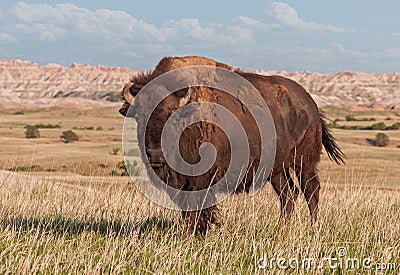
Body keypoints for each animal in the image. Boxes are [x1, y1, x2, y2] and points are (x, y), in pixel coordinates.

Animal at [118, 55, 344, 235]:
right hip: (277, 170)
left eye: (172, 116)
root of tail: (312, 105)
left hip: (304, 162)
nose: (156, 154)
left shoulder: (202, 179)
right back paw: (282, 231)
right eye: (139, 117)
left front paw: (197, 235)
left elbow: (199, 209)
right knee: (288, 195)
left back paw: (314, 230)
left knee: (310, 191)